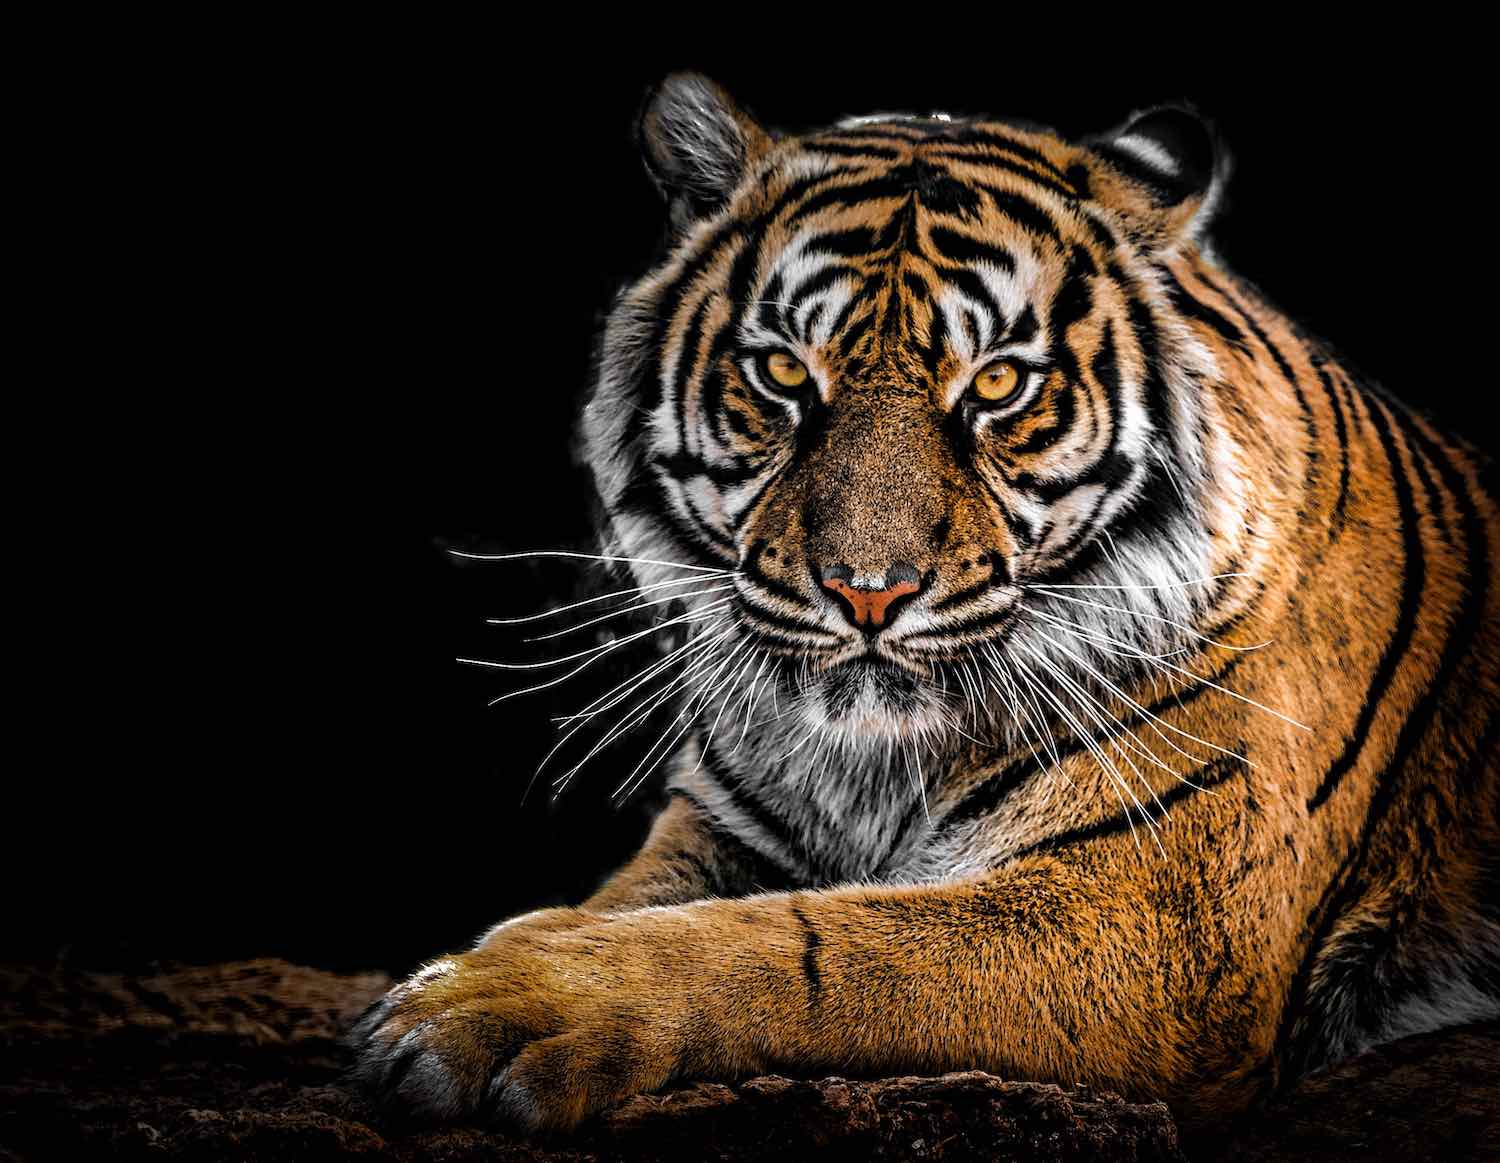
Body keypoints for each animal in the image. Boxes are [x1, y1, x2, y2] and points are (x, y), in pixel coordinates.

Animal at [348, 73, 1500, 1135]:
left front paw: (492, 1006)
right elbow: (632, 906)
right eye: (781, 374)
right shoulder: (721, 826)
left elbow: (806, 945)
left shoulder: (1157, 921)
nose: (870, 593)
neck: (871, 765)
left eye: (996, 385)